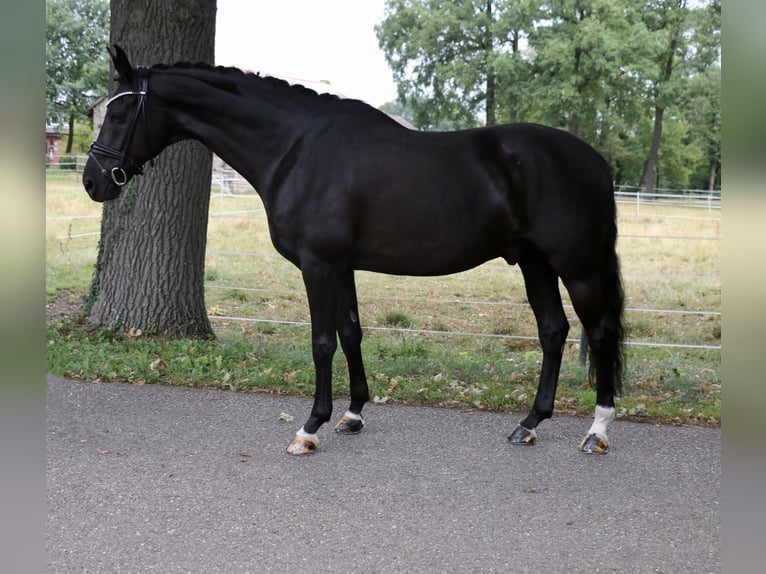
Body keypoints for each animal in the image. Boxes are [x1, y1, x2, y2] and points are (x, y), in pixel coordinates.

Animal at [84, 45, 625, 456]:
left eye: (119, 112)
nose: (93, 181)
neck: (296, 148)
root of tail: (594, 160)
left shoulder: (318, 266)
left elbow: (323, 341)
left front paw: (310, 428)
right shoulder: (341, 267)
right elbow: (351, 333)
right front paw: (352, 413)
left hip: (576, 267)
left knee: (598, 333)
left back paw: (596, 430)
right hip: (535, 263)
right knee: (553, 331)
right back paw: (529, 423)